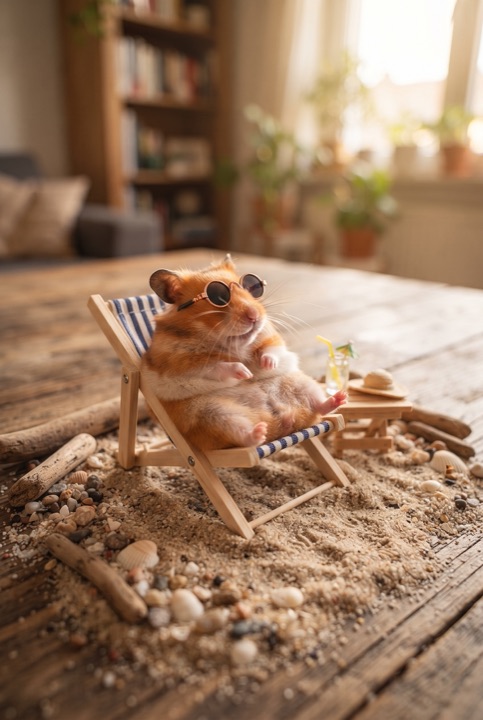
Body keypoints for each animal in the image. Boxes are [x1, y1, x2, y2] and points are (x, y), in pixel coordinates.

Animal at [141, 254, 347, 451]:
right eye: (218, 297)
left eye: (251, 290)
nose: (255, 316)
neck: (233, 343)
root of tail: (283, 422)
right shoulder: (179, 362)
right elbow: (216, 366)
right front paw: (245, 373)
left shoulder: (271, 337)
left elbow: (271, 350)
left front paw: (266, 364)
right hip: (213, 417)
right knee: (243, 436)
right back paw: (258, 432)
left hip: (303, 384)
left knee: (319, 407)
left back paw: (339, 398)